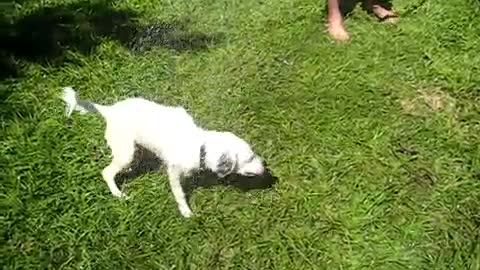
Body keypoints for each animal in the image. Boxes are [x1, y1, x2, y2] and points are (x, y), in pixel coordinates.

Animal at [61, 86, 264, 217]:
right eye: (249, 158)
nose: (265, 168)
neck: (199, 145)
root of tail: (110, 110)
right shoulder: (173, 171)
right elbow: (179, 193)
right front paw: (186, 212)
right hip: (126, 151)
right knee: (107, 172)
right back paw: (117, 193)